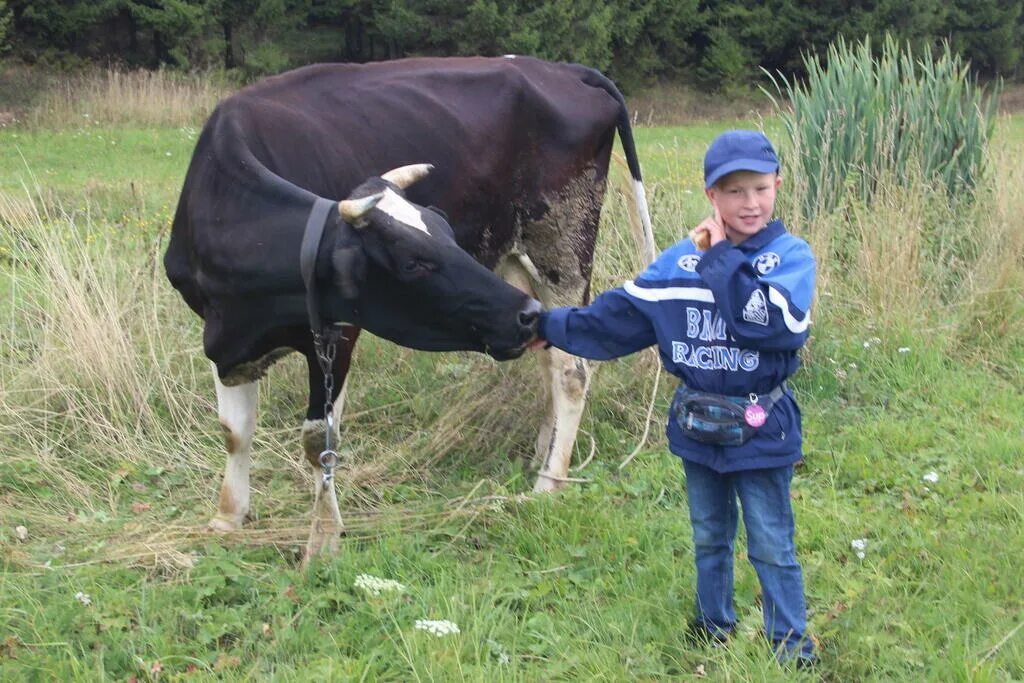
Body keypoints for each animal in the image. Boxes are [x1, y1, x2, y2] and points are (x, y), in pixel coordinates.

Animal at [163, 57, 651, 561]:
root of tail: (563, 69)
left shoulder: (336, 333)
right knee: (553, 355)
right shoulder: (222, 334)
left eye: (445, 235)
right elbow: (234, 430)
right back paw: (543, 453)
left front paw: (323, 542)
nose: (523, 314)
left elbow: (319, 441)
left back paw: (549, 481)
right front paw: (227, 517)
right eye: (415, 260)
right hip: (517, 261)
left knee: (572, 371)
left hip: (563, 244)